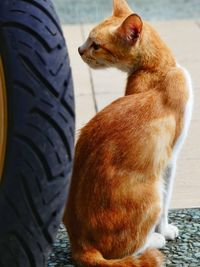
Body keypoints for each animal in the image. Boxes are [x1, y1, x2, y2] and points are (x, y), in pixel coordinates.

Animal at [63, 1, 192, 266]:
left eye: (95, 44)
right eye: (89, 41)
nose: (79, 49)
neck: (158, 70)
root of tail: (80, 245)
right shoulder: (170, 160)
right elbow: (167, 203)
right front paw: (165, 230)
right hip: (152, 192)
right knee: (128, 248)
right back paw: (155, 240)